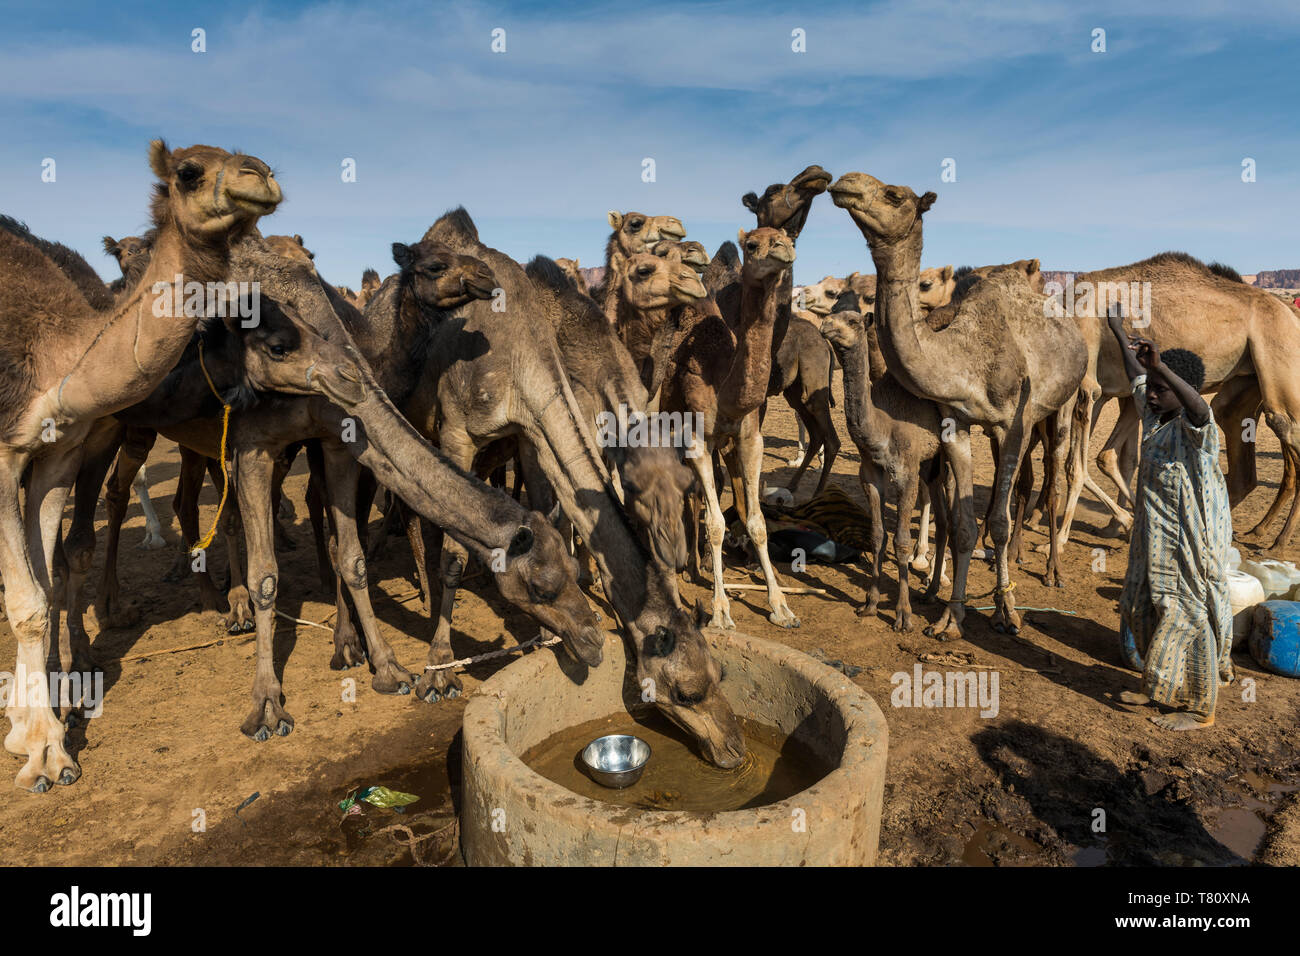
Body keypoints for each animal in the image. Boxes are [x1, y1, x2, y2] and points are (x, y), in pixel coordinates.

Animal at [0, 136, 287, 790]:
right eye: (189, 171)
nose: (260, 176)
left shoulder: (55, 454)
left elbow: (44, 585)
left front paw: (34, 731)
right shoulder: (3, 452)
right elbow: (27, 599)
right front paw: (44, 751)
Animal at [397, 210, 743, 770]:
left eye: (720, 675)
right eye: (686, 692)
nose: (733, 750)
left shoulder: (532, 433)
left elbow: (553, 522)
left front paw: (553, 628)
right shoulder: (458, 434)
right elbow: (454, 550)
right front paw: (440, 668)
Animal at [660, 227, 800, 632]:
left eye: (787, 237)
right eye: (752, 244)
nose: (785, 249)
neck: (723, 382)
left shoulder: (749, 438)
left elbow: (757, 521)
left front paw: (781, 607)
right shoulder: (697, 439)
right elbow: (716, 524)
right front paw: (721, 610)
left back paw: (696, 565)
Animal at [826, 171, 1092, 634]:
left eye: (893, 195)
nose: (845, 182)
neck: (962, 356)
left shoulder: (1012, 422)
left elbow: (998, 522)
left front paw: (1008, 612)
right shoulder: (957, 423)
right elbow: (965, 524)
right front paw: (950, 617)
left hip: (1062, 404)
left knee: (1053, 478)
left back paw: (1052, 571)